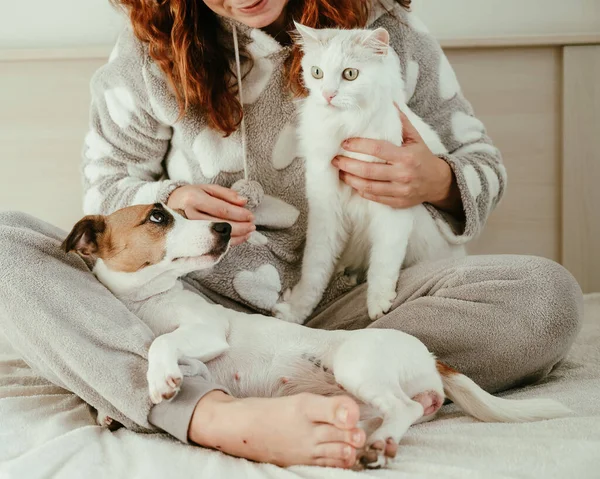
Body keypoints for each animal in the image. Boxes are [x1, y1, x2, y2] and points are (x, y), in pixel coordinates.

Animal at [63, 204, 568, 470]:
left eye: (184, 212)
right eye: (157, 217)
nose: (224, 227)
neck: (147, 301)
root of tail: (431, 357)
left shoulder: (207, 330)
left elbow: (160, 342)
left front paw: (160, 378)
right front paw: (106, 413)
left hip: (357, 367)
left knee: (403, 408)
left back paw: (379, 446)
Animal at [274, 21, 466, 322]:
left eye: (350, 74)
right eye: (317, 72)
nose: (328, 95)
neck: (345, 125)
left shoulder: (392, 209)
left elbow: (384, 262)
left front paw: (379, 303)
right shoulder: (326, 208)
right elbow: (314, 270)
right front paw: (295, 312)